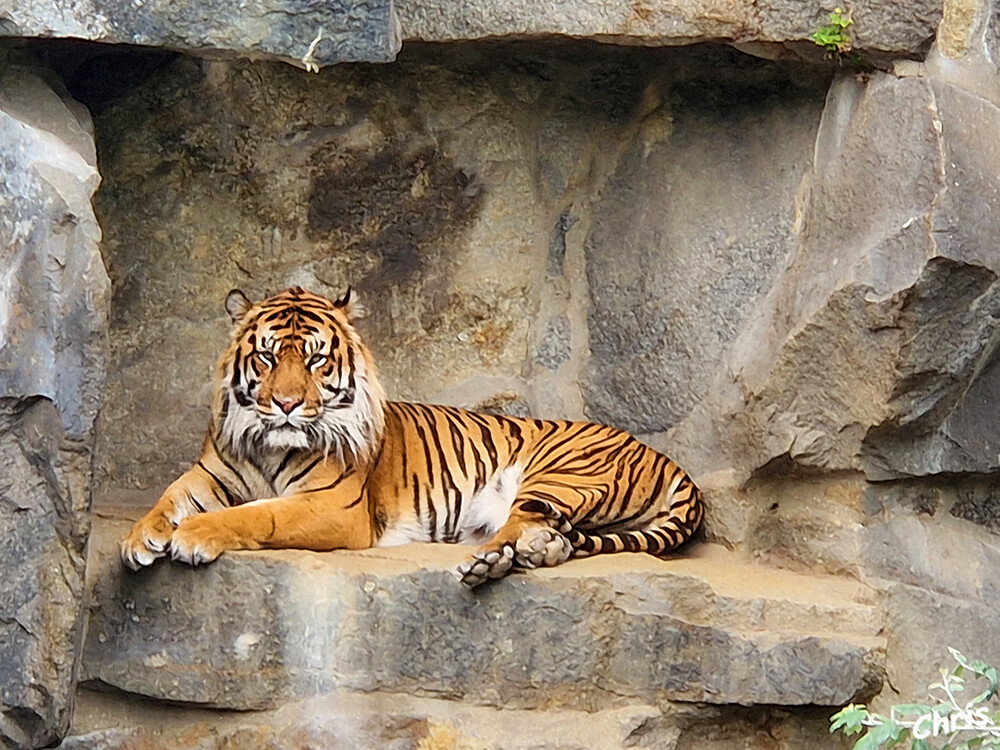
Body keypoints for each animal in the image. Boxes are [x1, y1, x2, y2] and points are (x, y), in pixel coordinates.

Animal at [121, 288, 704, 588]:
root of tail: (672, 464)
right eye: (266, 356)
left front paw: (194, 536)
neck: (266, 443)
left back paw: (491, 561)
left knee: (518, 527)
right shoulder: (208, 475)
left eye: (314, 359)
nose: (285, 404)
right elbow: (168, 498)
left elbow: (257, 515)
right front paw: (139, 539)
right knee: (555, 536)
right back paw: (539, 552)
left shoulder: (333, 505)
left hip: (556, 475)